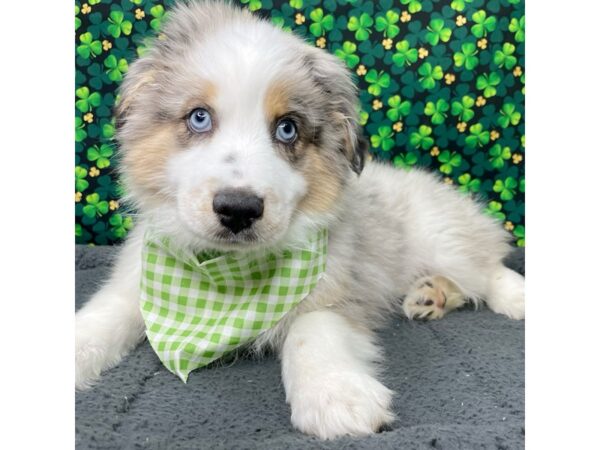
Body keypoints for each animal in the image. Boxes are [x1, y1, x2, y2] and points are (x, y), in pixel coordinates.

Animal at [76, 0, 524, 440]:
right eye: (199, 117)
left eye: (287, 128)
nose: (238, 209)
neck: (225, 276)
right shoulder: (133, 281)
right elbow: (103, 317)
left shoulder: (341, 287)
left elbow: (312, 331)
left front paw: (335, 395)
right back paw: (429, 296)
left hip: (441, 238)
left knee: (487, 267)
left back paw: (511, 297)